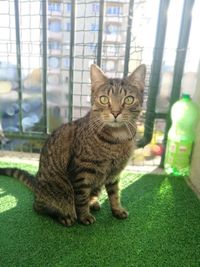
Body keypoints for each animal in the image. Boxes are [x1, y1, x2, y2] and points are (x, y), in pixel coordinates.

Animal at [0, 63, 146, 227]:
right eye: (103, 99)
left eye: (129, 99)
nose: (115, 112)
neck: (118, 138)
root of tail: (37, 186)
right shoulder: (82, 171)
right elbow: (81, 198)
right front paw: (84, 216)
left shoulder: (114, 174)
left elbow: (115, 194)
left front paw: (117, 210)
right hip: (59, 190)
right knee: (41, 207)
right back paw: (64, 215)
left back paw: (93, 202)